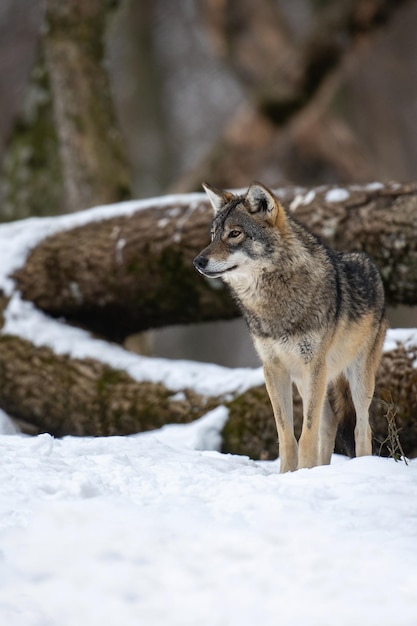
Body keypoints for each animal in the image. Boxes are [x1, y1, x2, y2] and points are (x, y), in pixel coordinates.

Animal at [193, 180, 386, 468]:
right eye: (214, 235)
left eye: (235, 233)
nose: (198, 261)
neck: (275, 304)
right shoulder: (274, 369)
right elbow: (287, 436)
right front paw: (289, 474)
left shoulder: (313, 365)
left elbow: (306, 435)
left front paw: (303, 472)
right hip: (309, 381)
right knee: (328, 423)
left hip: (357, 378)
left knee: (362, 429)